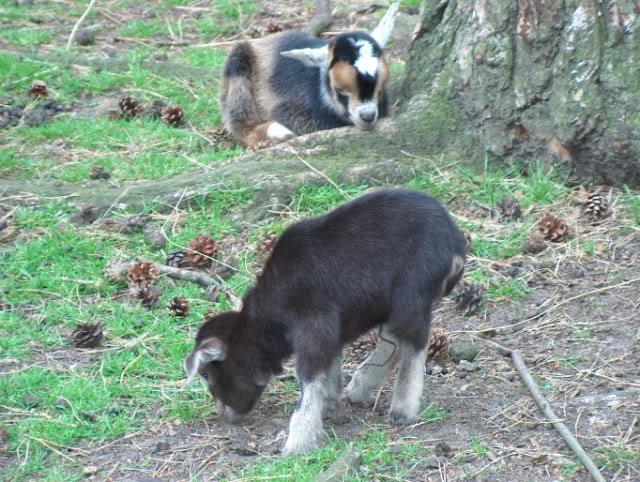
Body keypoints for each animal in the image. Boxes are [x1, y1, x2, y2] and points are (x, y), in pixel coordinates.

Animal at [184, 189, 464, 456]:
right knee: (395, 338)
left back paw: (402, 409)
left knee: (414, 343)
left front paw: (298, 442)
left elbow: (309, 377)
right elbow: (330, 364)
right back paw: (361, 387)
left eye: (206, 373)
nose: (224, 414)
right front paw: (328, 403)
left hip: (411, 294)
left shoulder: (315, 326)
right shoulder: (331, 329)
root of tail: (454, 240)